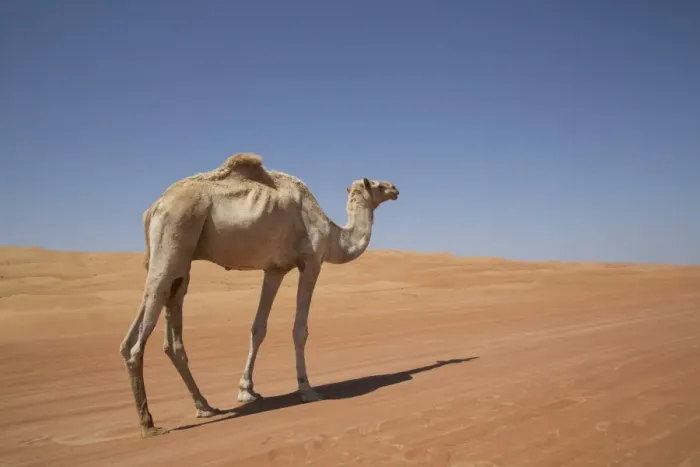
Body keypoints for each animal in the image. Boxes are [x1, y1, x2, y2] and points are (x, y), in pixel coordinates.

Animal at [119, 153, 399, 438]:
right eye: (377, 185)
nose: (395, 189)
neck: (333, 234)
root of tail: (154, 206)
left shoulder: (275, 269)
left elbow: (258, 328)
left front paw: (247, 390)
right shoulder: (311, 262)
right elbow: (300, 330)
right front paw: (306, 388)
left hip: (181, 262)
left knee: (170, 325)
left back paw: (205, 406)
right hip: (172, 237)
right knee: (137, 335)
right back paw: (149, 424)